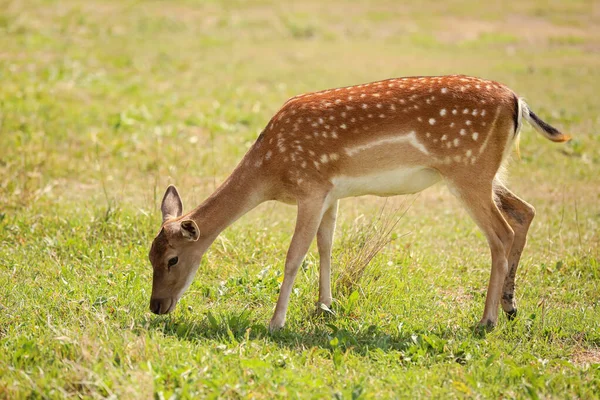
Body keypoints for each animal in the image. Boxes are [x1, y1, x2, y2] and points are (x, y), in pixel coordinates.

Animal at [146, 75, 568, 332]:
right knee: (525, 211)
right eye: (149, 256)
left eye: (173, 260)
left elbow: (294, 255)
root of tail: (517, 102)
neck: (271, 170)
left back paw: (487, 320)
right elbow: (326, 246)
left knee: (501, 233)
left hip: (469, 171)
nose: (156, 306)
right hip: (486, 172)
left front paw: (276, 322)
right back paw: (511, 306)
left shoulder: (311, 188)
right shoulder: (330, 194)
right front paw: (324, 307)